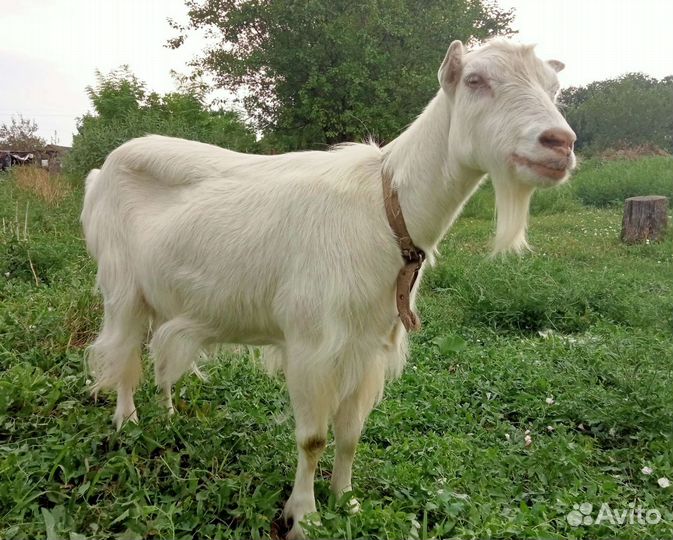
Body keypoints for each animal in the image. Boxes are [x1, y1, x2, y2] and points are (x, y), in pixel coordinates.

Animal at [81, 39, 576, 539]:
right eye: (476, 80)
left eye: (554, 87)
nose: (560, 142)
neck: (385, 208)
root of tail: (100, 172)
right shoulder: (311, 345)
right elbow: (313, 438)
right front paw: (304, 515)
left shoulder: (368, 345)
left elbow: (351, 434)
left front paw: (346, 500)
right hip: (121, 284)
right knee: (122, 352)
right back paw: (128, 421)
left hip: (165, 292)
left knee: (159, 350)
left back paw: (167, 415)